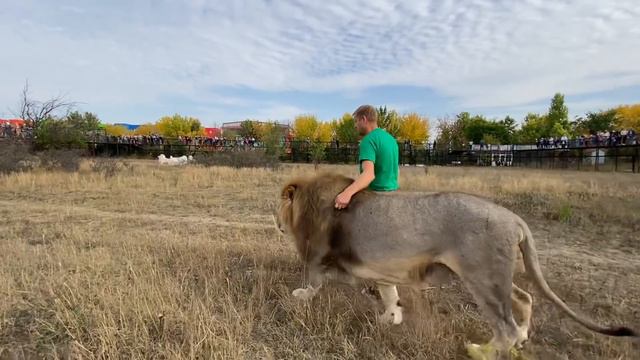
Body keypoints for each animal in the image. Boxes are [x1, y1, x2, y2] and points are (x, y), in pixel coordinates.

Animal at [274, 172, 636, 360]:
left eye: (278, 206)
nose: (275, 223)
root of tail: (515, 218)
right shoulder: (379, 266)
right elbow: (388, 292)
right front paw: (391, 317)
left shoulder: (318, 256)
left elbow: (315, 282)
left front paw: (300, 297)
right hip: (498, 275)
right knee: (525, 299)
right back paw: (522, 338)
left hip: (482, 278)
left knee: (504, 325)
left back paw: (482, 350)